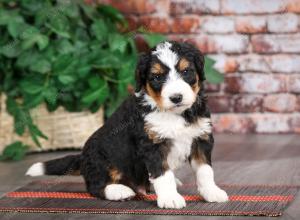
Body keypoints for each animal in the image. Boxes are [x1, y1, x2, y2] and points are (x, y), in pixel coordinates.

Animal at [26, 41, 227, 210]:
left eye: (186, 72)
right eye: (157, 77)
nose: (176, 97)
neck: (175, 114)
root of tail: (82, 158)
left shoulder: (201, 137)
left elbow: (205, 170)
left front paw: (212, 192)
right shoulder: (151, 144)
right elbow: (163, 175)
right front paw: (170, 198)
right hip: (103, 159)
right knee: (96, 186)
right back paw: (119, 191)